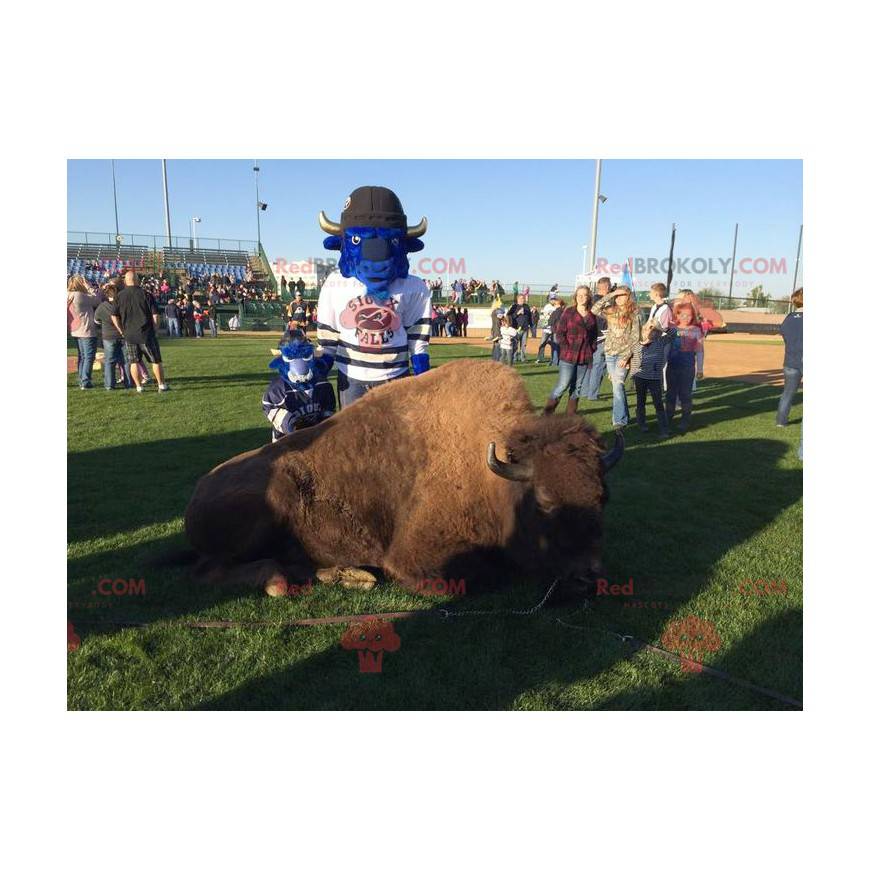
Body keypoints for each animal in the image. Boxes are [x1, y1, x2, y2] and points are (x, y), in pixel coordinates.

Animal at [186, 358, 620, 604]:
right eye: (544, 500)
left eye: (603, 497)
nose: (589, 575)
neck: (491, 473)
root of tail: (196, 497)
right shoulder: (414, 557)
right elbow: (473, 577)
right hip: (272, 501)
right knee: (212, 571)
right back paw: (285, 581)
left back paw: (349, 576)